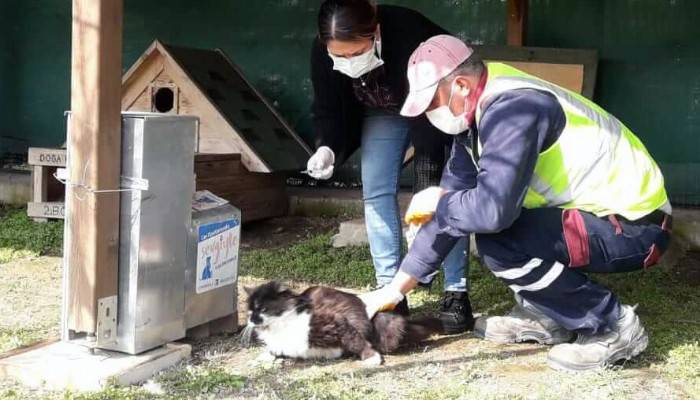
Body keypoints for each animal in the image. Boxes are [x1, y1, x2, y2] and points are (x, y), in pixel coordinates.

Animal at [243, 282, 440, 366]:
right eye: (250, 310)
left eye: (262, 308)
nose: (251, 319)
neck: (279, 327)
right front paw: (266, 355)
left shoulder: (338, 323)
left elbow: (357, 342)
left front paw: (371, 358)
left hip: (388, 329)